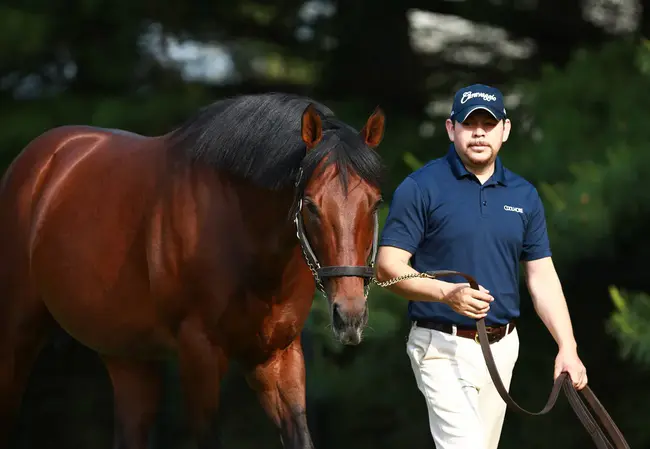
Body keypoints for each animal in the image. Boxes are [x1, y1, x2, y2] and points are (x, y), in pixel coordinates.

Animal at [0, 92, 384, 448]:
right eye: (311, 204)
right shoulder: (199, 353)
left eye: (376, 203)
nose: (350, 315)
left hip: (129, 358)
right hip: (17, 338)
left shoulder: (278, 356)